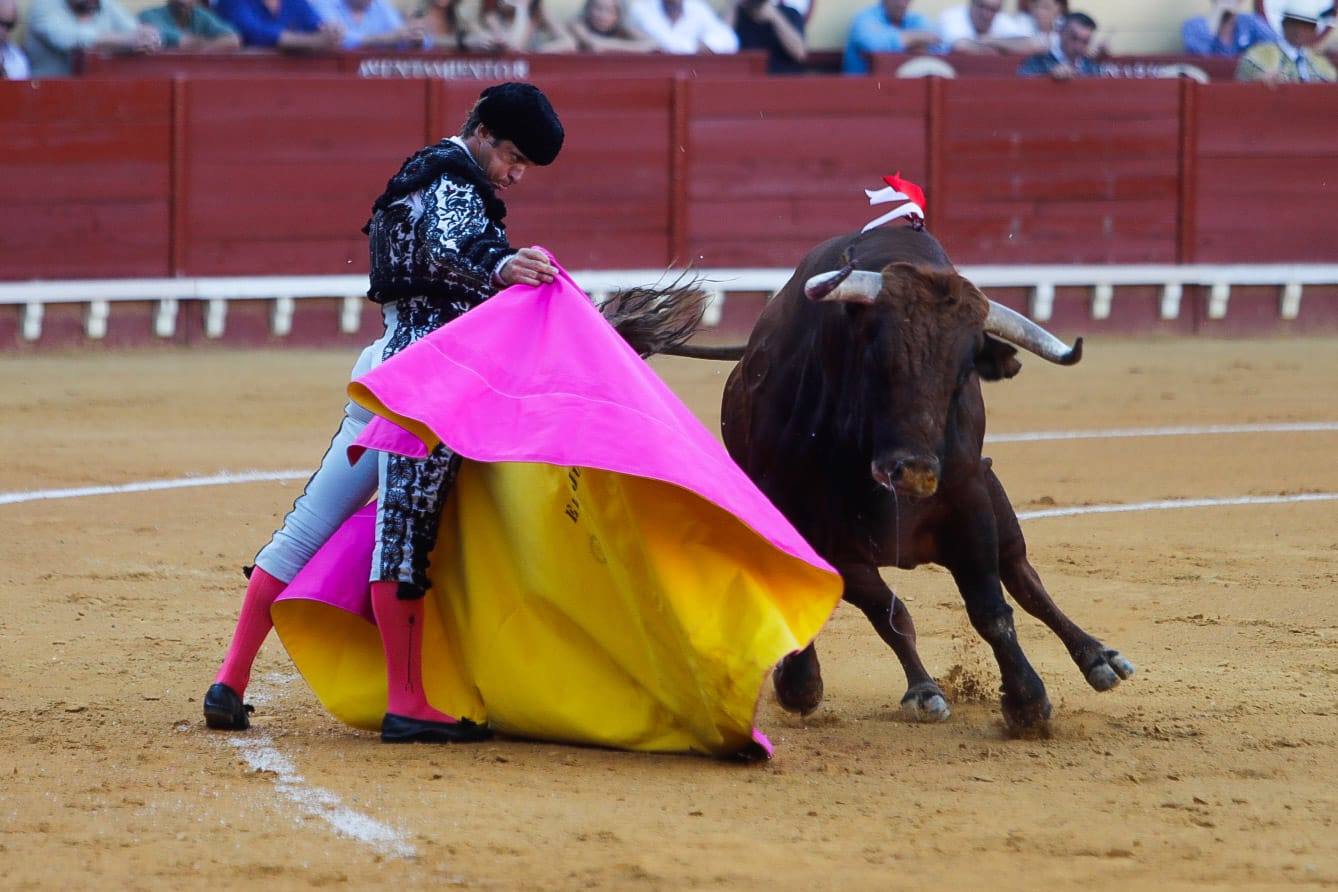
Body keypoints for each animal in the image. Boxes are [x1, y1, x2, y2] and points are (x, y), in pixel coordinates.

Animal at [674, 227, 1134, 738]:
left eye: (964, 373)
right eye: (877, 357)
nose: (915, 471)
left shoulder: (969, 501)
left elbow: (990, 609)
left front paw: (1027, 701)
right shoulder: (811, 531)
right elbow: (867, 609)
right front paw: (800, 685)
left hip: (997, 506)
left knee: (1023, 577)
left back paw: (1098, 658)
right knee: (897, 612)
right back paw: (922, 688)